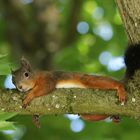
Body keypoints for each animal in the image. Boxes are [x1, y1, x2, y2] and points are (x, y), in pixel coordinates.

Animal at [11, 43, 139, 127]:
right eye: (13, 81)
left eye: (26, 74)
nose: (20, 87)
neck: (37, 76)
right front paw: (35, 117)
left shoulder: (48, 78)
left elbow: (46, 87)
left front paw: (29, 95)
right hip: (87, 112)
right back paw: (114, 117)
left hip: (88, 80)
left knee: (111, 83)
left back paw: (119, 88)